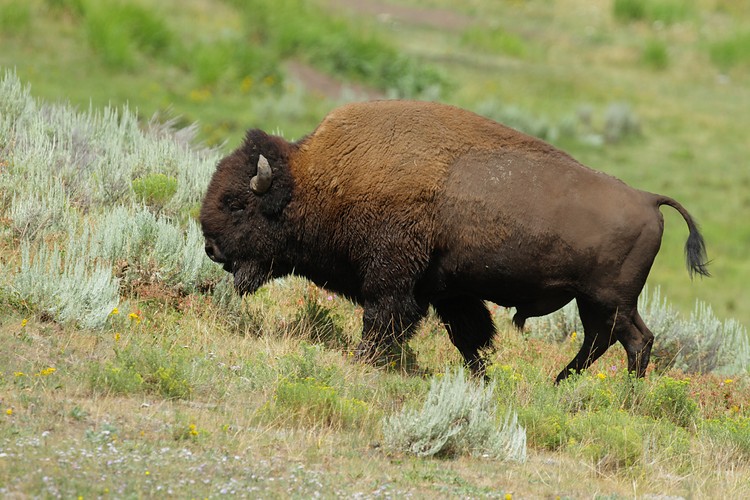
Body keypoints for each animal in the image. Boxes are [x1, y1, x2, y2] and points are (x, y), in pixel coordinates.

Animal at [200, 100, 708, 382]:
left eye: (236, 204)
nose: (211, 248)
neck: (323, 179)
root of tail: (647, 199)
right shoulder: (447, 292)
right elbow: (470, 336)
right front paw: (483, 378)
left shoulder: (392, 278)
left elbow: (383, 320)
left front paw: (363, 359)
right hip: (601, 302)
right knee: (615, 341)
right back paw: (562, 385)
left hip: (605, 300)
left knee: (630, 342)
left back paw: (614, 395)